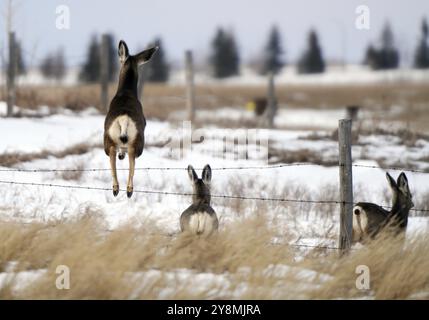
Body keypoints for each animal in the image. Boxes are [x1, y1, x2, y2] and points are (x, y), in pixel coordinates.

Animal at [103, 38, 157, 196]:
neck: (126, 92)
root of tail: (123, 119)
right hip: (135, 141)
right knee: (130, 158)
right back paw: (124, 190)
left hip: (111, 140)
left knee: (116, 157)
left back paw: (120, 189)